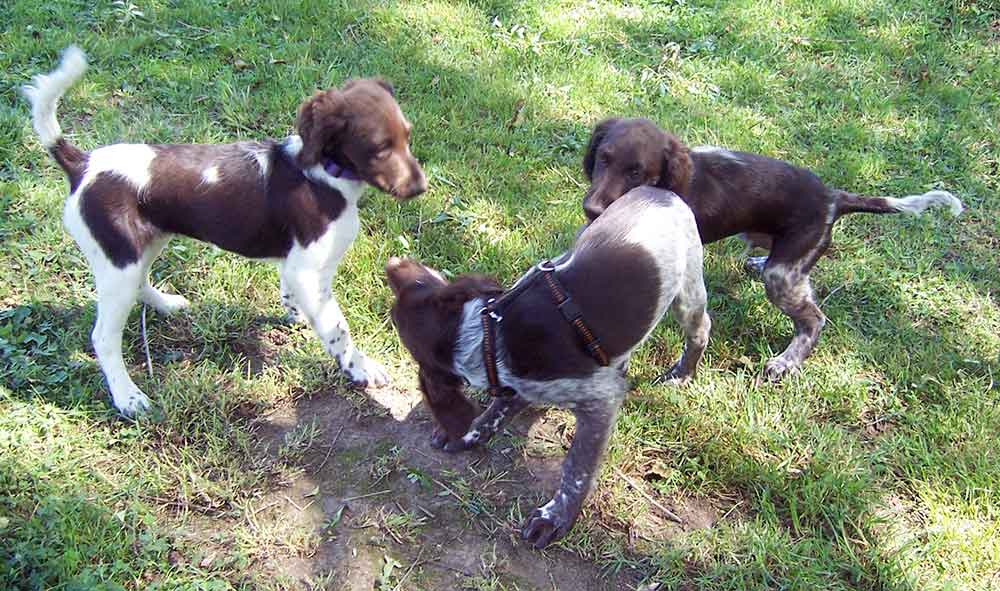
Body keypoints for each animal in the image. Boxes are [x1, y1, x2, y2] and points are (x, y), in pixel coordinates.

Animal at [21, 46, 424, 416]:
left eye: (407, 136)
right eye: (379, 148)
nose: (421, 187)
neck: (325, 174)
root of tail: (81, 164)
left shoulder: (295, 265)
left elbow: (293, 296)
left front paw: (295, 313)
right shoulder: (308, 269)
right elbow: (337, 328)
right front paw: (361, 369)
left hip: (142, 245)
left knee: (140, 283)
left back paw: (166, 304)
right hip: (118, 258)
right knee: (104, 337)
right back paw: (128, 397)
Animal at [386, 186, 708, 552]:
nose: (394, 266)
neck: (488, 335)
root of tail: (659, 190)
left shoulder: (600, 400)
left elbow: (576, 469)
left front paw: (555, 518)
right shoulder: (521, 382)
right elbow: (500, 406)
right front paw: (472, 431)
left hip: (688, 290)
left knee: (700, 331)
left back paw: (681, 375)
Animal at [584, 118, 964, 382]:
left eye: (637, 172)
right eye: (603, 158)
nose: (591, 210)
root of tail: (833, 199)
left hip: (781, 276)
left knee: (814, 319)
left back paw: (786, 362)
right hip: (785, 262)